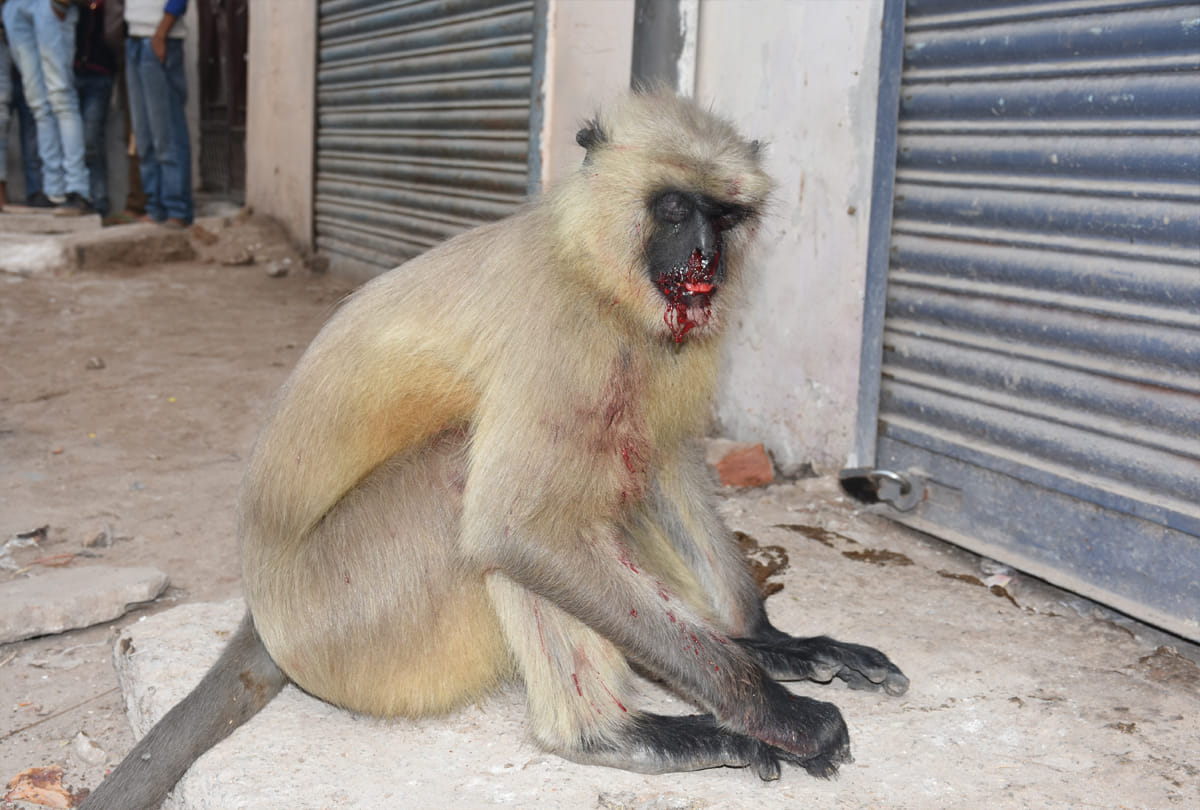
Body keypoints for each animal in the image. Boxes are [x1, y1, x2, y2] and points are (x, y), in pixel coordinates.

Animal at [80, 90, 908, 810]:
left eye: (725, 216)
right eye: (676, 209)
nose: (707, 256)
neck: (587, 263)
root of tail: (261, 608)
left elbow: (666, 458)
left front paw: (766, 641)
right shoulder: (565, 330)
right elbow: (516, 531)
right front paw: (773, 710)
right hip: (346, 624)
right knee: (477, 488)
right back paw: (605, 738)